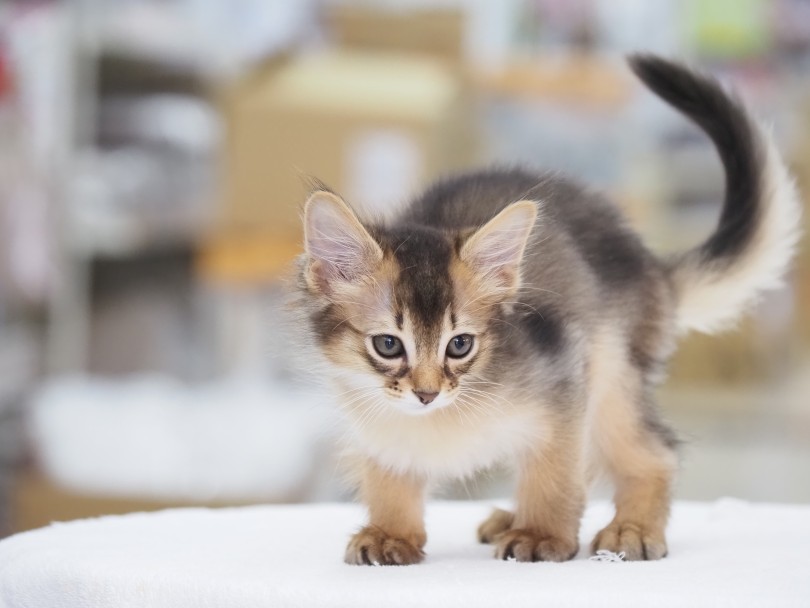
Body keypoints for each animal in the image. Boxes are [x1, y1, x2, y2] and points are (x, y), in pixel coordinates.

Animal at [288, 54, 796, 564]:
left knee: (654, 451)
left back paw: (629, 528)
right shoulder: (380, 432)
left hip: (612, 373)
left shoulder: (563, 380)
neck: (440, 419)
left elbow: (554, 473)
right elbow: (389, 480)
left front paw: (541, 534)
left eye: (460, 345)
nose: (427, 394)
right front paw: (391, 534)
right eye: (389, 345)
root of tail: (649, 264)